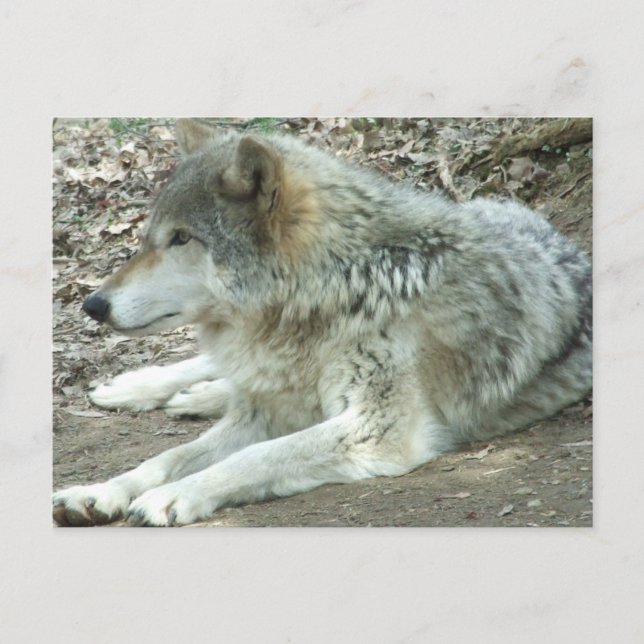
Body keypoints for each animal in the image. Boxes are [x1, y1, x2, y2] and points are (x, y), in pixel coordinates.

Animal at [52, 119, 592, 526]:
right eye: (149, 238)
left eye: (181, 238)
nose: (93, 304)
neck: (331, 293)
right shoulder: (266, 415)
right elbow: (165, 457)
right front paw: (100, 490)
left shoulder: (377, 429)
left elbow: (254, 456)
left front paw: (174, 495)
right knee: (209, 369)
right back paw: (140, 388)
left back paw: (192, 398)